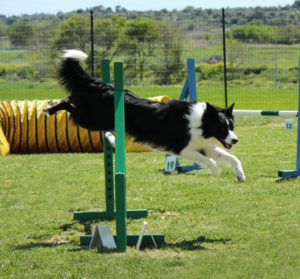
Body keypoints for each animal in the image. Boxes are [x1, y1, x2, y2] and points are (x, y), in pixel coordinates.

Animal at [43, 49, 245, 182]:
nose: (235, 140)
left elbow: (232, 158)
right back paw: (49, 108)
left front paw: (240, 175)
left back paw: (50, 105)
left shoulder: (205, 146)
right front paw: (215, 172)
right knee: (68, 103)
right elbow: (209, 161)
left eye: (231, 127)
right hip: (91, 119)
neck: (200, 123)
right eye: (222, 127)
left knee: (70, 99)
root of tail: (102, 85)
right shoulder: (184, 149)